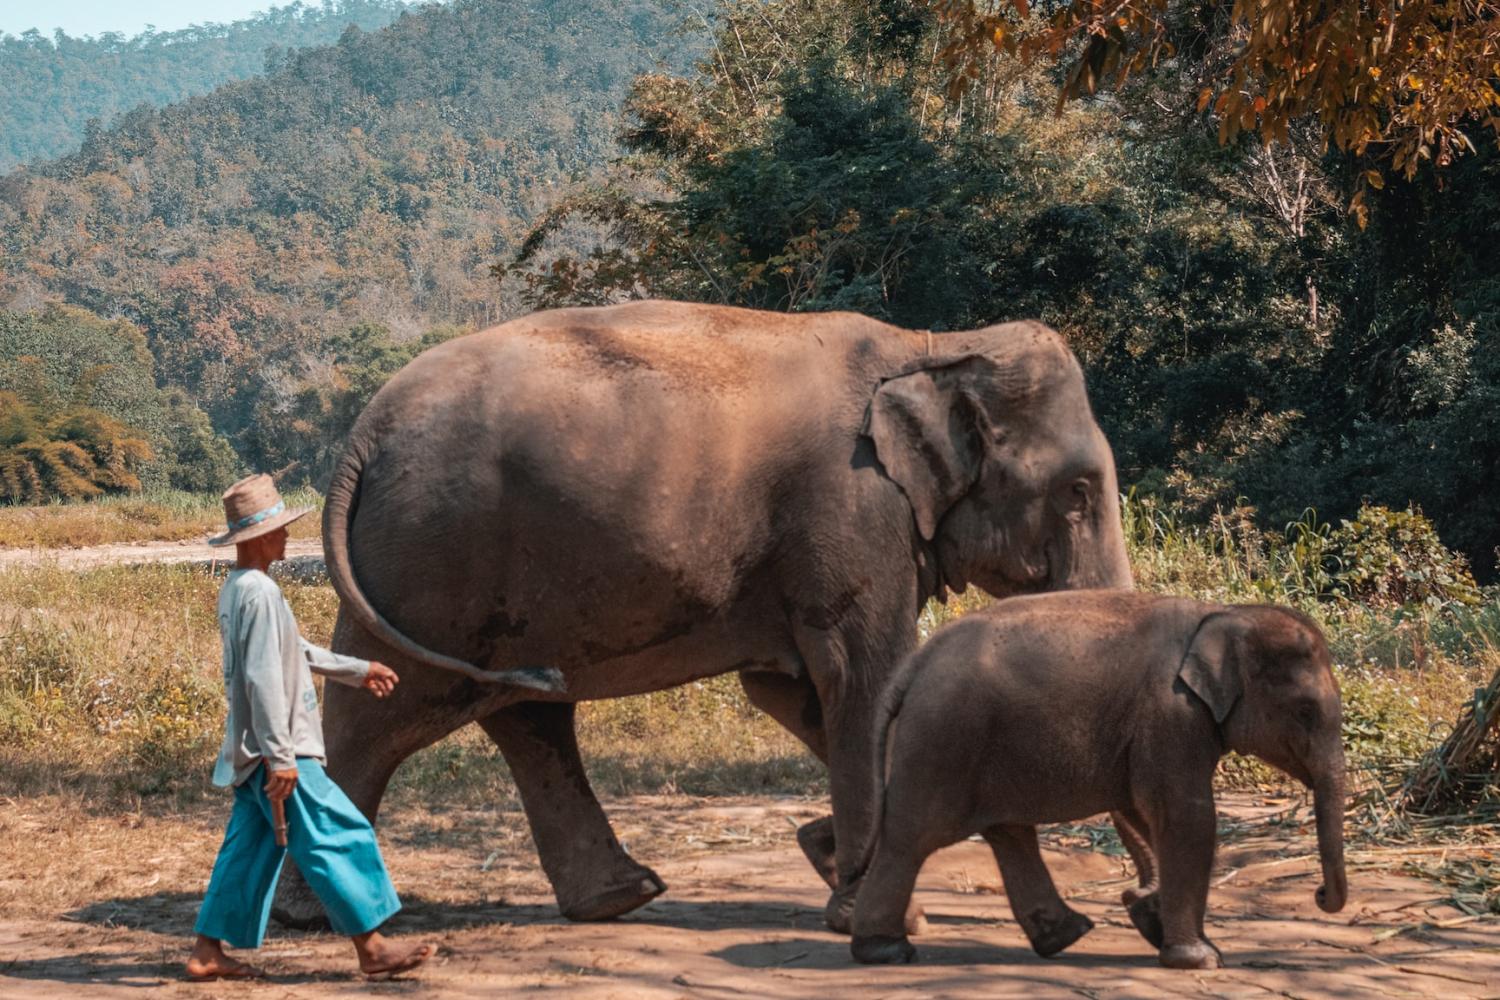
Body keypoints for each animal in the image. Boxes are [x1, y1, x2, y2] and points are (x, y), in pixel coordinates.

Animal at [273, 299, 1135, 928]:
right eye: (1079, 492)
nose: (1136, 908)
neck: (937, 344)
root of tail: (361, 438)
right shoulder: (852, 510)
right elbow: (863, 677)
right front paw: (869, 905)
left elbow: (795, 691)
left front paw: (830, 859)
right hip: (434, 560)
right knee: (383, 714)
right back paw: (317, 918)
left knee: (523, 712)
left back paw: (621, 897)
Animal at [850, 591, 1348, 970]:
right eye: (1306, 712)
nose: (1320, 893)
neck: (1222, 613)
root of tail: (914, 664)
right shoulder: (1172, 715)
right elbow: (1186, 817)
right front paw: (1201, 959)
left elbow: (1145, 811)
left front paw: (1153, 920)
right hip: (942, 740)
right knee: (912, 837)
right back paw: (885, 950)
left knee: (1008, 833)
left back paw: (1065, 936)